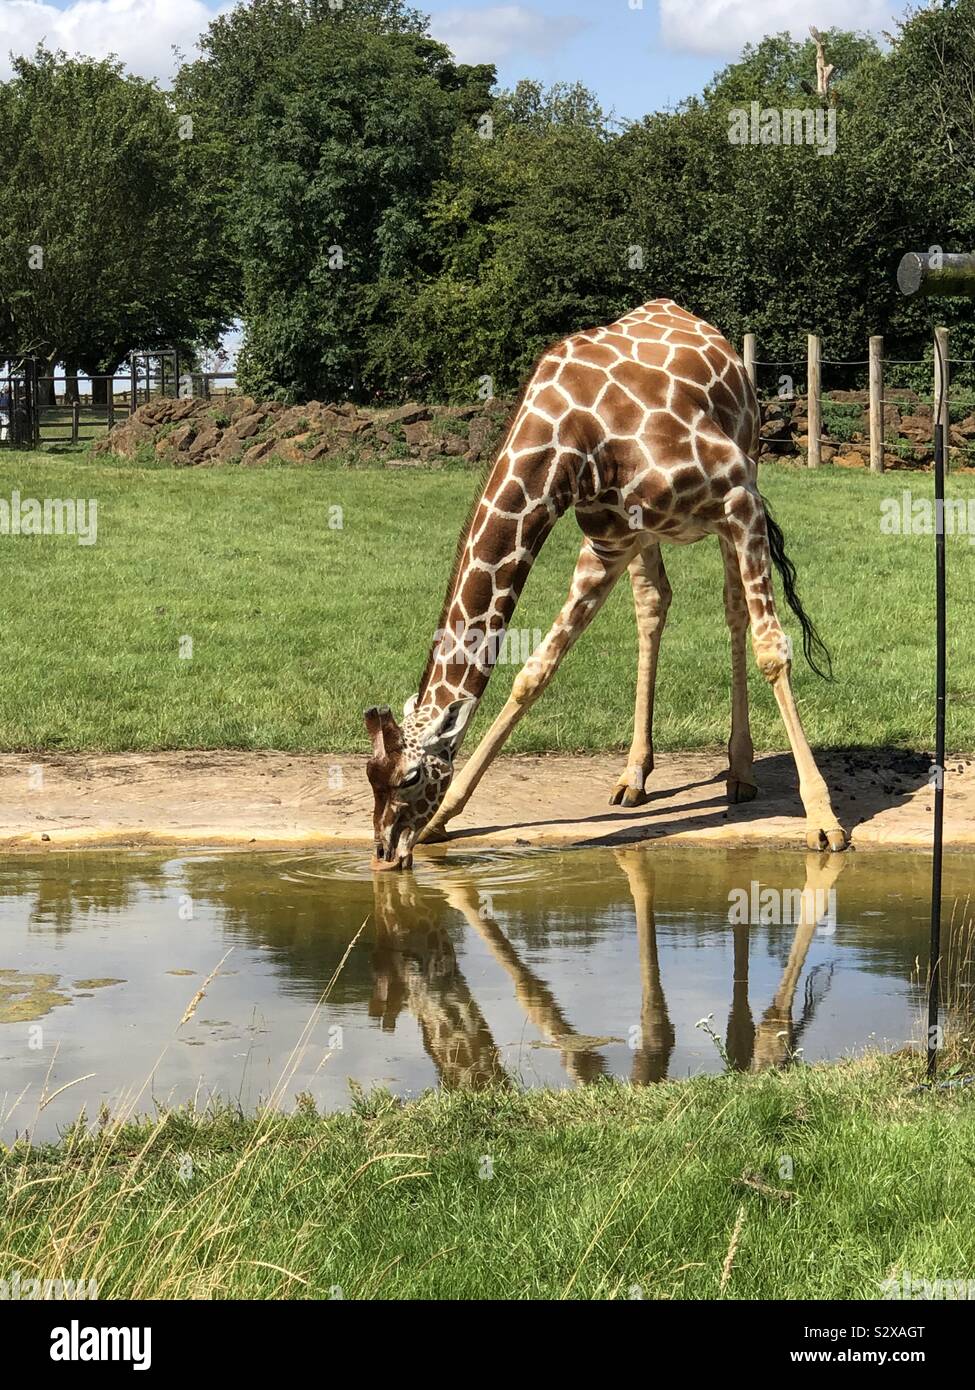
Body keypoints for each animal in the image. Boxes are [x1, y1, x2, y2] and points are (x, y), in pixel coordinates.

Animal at [364, 298, 845, 867]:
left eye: (410, 777)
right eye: (369, 775)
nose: (386, 851)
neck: (572, 445)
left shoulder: (737, 498)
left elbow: (772, 650)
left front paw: (823, 820)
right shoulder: (607, 543)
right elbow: (535, 669)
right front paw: (444, 818)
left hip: (744, 479)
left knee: (735, 612)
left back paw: (741, 772)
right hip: (645, 537)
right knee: (654, 603)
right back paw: (634, 775)